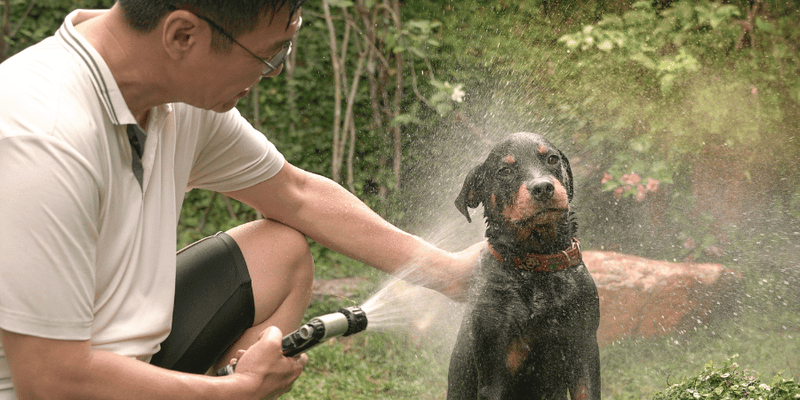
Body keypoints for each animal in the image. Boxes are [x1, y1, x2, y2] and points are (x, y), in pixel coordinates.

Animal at [444, 133, 600, 398]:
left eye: (552, 158)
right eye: (504, 170)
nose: (543, 188)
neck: (538, 266)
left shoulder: (584, 349)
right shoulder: (495, 369)